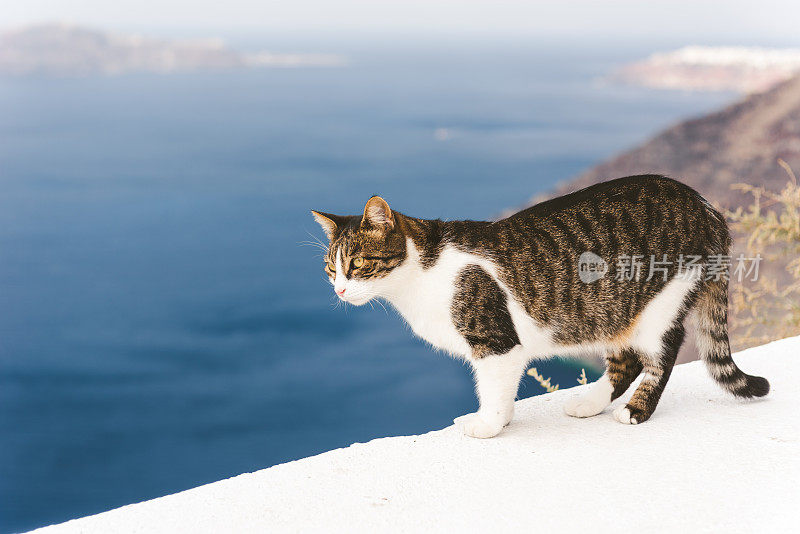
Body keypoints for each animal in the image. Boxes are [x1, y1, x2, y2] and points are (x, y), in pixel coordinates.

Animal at [312, 176, 768, 440]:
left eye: (358, 263)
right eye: (330, 268)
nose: (340, 290)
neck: (422, 274)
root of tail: (707, 207)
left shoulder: (496, 343)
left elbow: (492, 388)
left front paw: (489, 424)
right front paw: (500, 418)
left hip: (660, 303)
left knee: (662, 353)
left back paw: (636, 410)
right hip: (613, 311)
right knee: (626, 361)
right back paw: (590, 403)